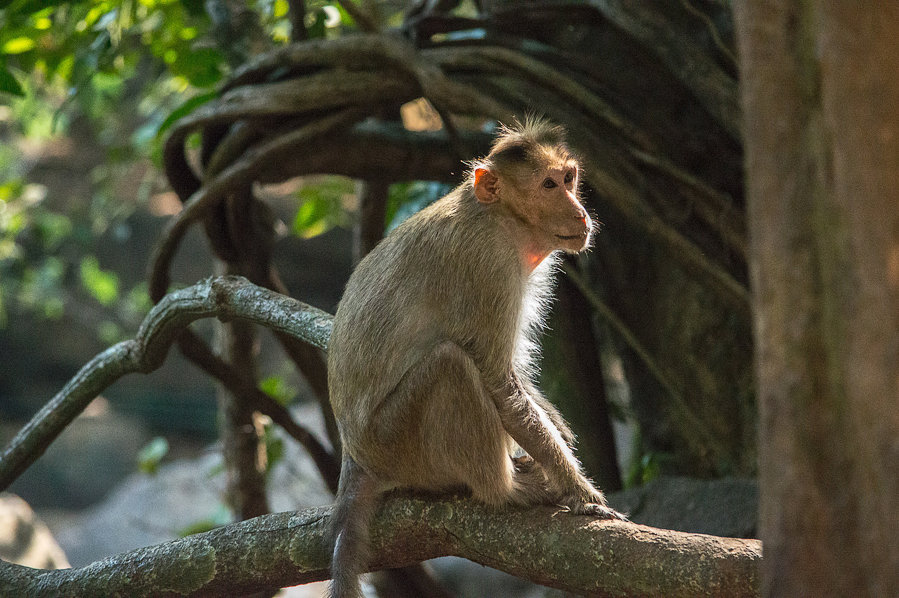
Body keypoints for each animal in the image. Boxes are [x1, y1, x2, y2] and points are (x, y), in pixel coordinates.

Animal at [326, 118, 628, 598]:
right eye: (548, 185)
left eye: (569, 178)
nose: (580, 213)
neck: (499, 216)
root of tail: (354, 456)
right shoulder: (491, 265)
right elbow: (496, 379)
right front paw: (581, 492)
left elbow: (510, 376)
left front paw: (559, 430)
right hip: (396, 443)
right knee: (450, 365)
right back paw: (505, 490)